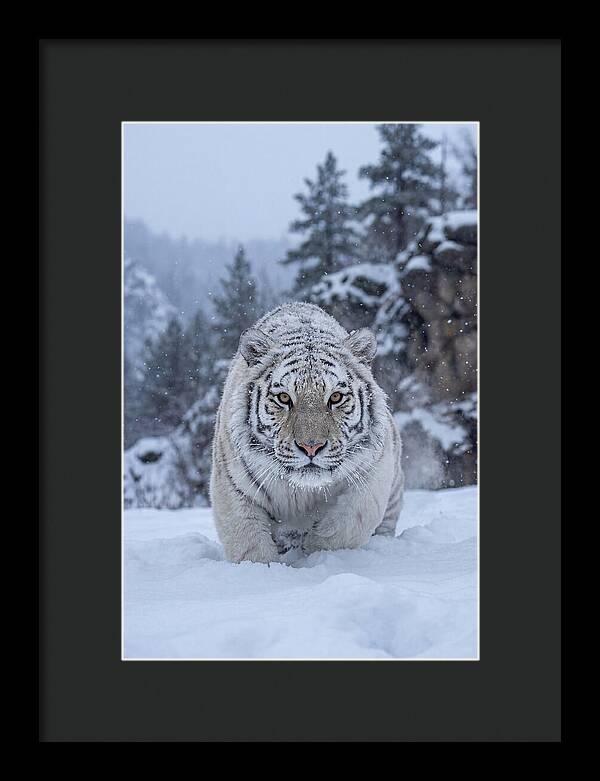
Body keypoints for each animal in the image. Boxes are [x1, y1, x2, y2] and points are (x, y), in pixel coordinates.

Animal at [210, 302, 405, 564]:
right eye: (284, 398)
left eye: (335, 397)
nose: (311, 446)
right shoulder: (233, 487)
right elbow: (249, 544)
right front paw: (265, 568)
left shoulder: (372, 474)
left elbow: (346, 526)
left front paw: (315, 552)